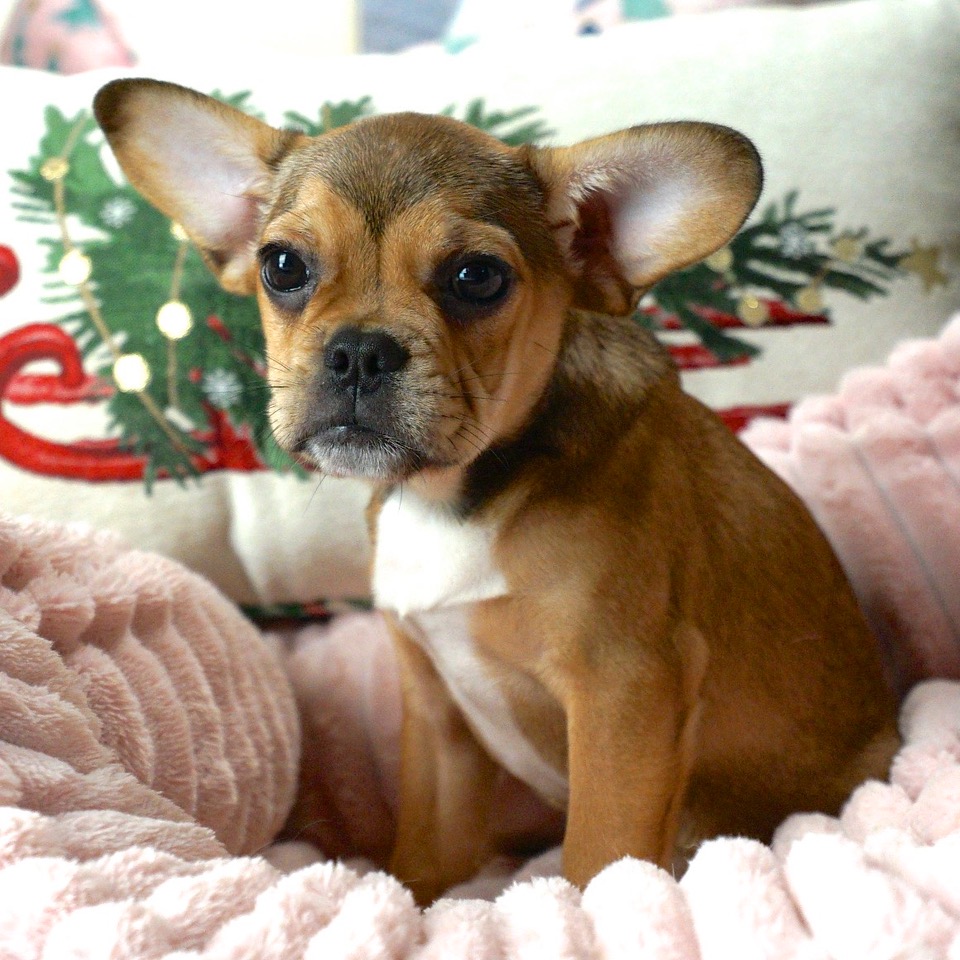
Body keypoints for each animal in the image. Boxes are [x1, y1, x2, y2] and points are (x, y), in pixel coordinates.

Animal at [95, 78, 900, 904]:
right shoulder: (437, 720)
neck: (451, 499)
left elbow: (599, 854)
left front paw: (599, 913)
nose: (358, 351)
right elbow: (424, 855)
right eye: (282, 265)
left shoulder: (625, 692)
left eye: (476, 278)